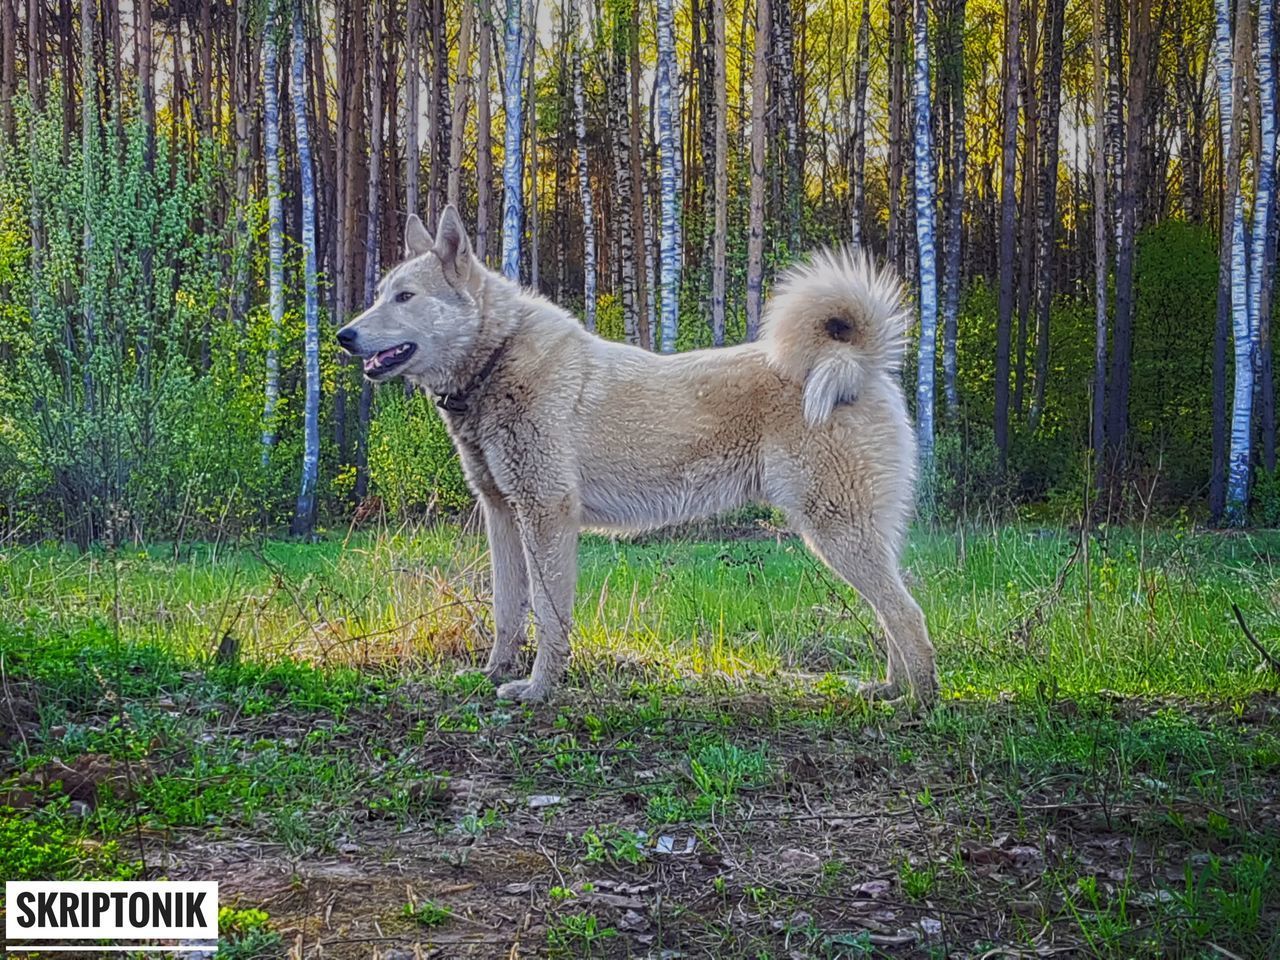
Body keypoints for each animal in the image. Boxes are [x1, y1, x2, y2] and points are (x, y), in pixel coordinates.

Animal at [335, 207, 936, 701]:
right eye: (382, 293)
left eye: (405, 297)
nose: (343, 335)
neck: (497, 358)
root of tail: (859, 362)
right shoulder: (503, 515)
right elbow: (509, 608)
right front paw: (495, 674)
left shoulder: (546, 515)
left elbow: (549, 616)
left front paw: (539, 690)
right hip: (856, 537)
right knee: (893, 614)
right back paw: (888, 690)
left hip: (837, 532)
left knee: (907, 617)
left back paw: (917, 704)